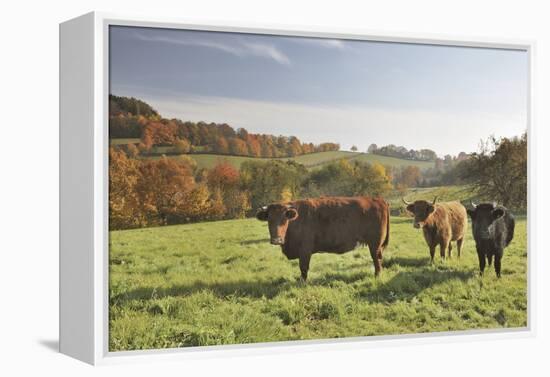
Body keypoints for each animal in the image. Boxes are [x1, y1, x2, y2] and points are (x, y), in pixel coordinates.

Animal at [256, 197, 390, 280]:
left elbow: (303, 268)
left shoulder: (305, 251)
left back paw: (377, 276)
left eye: (284, 219)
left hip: (374, 245)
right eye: (269, 219)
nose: (276, 240)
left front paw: (302, 282)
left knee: (376, 260)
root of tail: (377, 200)